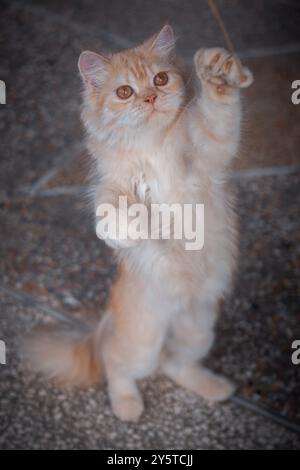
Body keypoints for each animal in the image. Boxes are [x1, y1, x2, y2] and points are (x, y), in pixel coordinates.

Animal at [26, 25, 253, 422]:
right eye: (124, 92)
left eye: (160, 79)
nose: (149, 97)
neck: (152, 144)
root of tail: (104, 323)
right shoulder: (111, 182)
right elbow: (110, 207)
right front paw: (128, 231)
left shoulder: (209, 151)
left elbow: (217, 113)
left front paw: (217, 73)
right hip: (142, 342)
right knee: (117, 365)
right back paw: (128, 407)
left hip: (197, 330)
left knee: (174, 364)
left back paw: (214, 389)